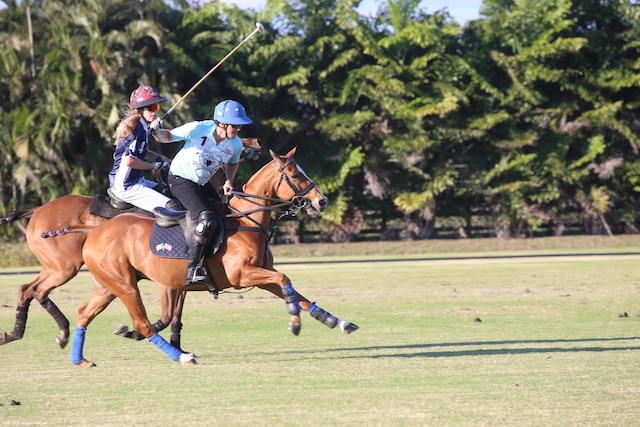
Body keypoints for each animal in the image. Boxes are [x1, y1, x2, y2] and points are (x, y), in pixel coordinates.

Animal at [0, 139, 262, 350]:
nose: (257, 143)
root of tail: (37, 210)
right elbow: (174, 310)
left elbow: (176, 312)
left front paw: (175, 344)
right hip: (65, 267)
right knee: (37, 290)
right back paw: (62, 332)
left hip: (52, 266)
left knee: (27, 289)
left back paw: (15, 334)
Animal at [69, 148, 360, 368]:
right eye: (294, 174)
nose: (322, 201)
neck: (246, 222)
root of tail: (94, 231)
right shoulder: (241, 276)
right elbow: (285, 279)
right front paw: (295, 324)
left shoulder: (261, 276)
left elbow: (297, 295)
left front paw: (337, 321)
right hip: (125, 285)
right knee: (141, 321)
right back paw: (181, 357)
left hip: (108, 285)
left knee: (83, 313)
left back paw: (80, 359)